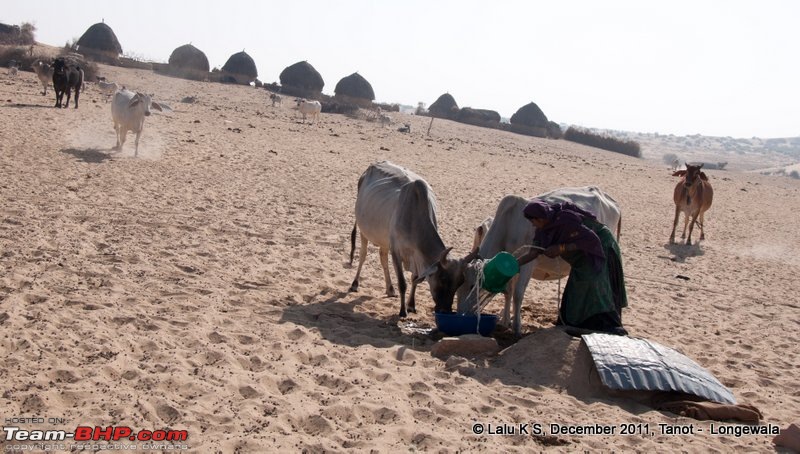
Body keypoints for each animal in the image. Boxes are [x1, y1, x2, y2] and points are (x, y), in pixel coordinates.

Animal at [348, 161, 476, 318]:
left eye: (460, 282)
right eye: (442, 279)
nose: (445, 310)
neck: (415, 218)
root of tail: (372, 166)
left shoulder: (416, 256)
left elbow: (415, 279)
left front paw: (411, 305)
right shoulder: (396, 251)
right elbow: (403, 283)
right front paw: (402, 311)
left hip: (384, 239)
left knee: (382, 257)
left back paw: (390, 289)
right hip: (363, 231)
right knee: (363, 255)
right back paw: (355, 284)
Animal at [456, 185, 620, 336]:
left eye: (472, 286)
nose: (460, 314)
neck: (508, 226)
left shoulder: (528, 263)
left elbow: (517, 295)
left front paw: (517, 328)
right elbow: (508, 292)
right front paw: (504, 322)